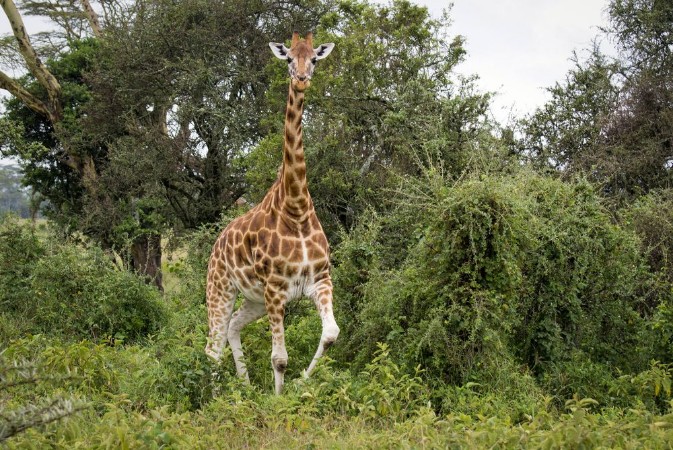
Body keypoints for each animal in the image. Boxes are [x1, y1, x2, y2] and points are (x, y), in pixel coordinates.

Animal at [205, 32, 337, 395]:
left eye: (315, 58)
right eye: (289, 58)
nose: (302, 77)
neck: (297, 207)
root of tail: (216, 244)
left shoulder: (320, 279)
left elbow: (331, 334)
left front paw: (303, 382)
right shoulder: (276, 288)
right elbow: (279, 358)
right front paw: (279, 400)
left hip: (253, 299)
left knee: (232, 329)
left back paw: (245, 387)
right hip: (221, 288)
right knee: (212, 346)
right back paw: (218, 397)